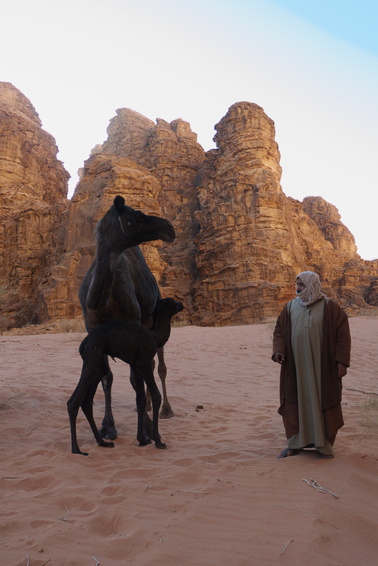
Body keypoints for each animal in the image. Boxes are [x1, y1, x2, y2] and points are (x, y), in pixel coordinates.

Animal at [69, 300, 186, 460]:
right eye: (172, 302)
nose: (182, 305)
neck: (154, 336)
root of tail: (84, 343)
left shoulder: (135, 365)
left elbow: (140, 398)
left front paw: (142, 439)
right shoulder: (144, 362)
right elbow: (156, 395)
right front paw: (158, 440)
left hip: (98, 364)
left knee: (87, 401)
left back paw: (103, 442)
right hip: (92, 360)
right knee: (74, 401)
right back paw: (76, 449)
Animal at [79, 197, 176, 442]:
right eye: (136, 216)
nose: (169, 228)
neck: (104, 300)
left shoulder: (134, 322)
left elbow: (134, 379)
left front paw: (147, 428)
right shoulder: (94, 328)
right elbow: (106, 377)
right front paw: (108, 428)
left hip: (154, 316)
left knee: (160, 365)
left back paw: (166, 409)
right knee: (149, 364)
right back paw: (148, 406)